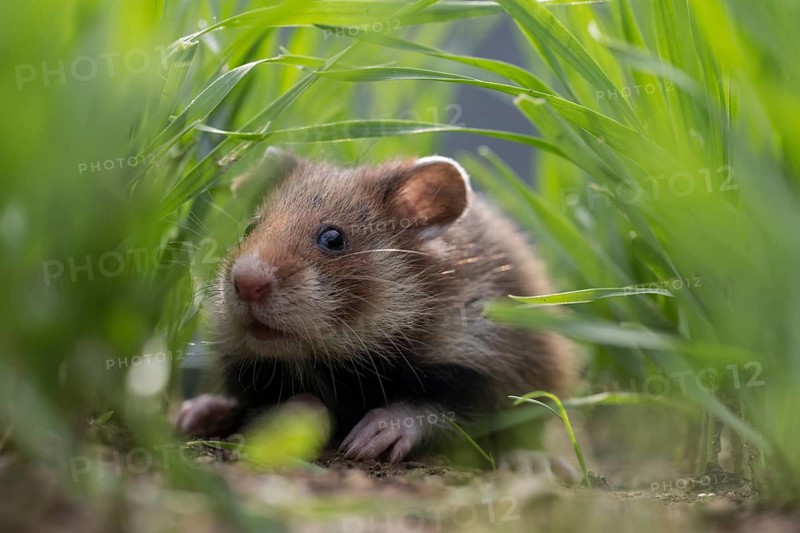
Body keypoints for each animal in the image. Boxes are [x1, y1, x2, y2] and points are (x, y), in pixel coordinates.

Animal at [177, 153, 575, 464]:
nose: (246, 283)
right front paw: (295, 415)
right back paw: (195, 413)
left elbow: (433, 411)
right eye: (249, 228)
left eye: (333, 239)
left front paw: (366, 440)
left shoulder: (484, 371)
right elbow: (290, 403)